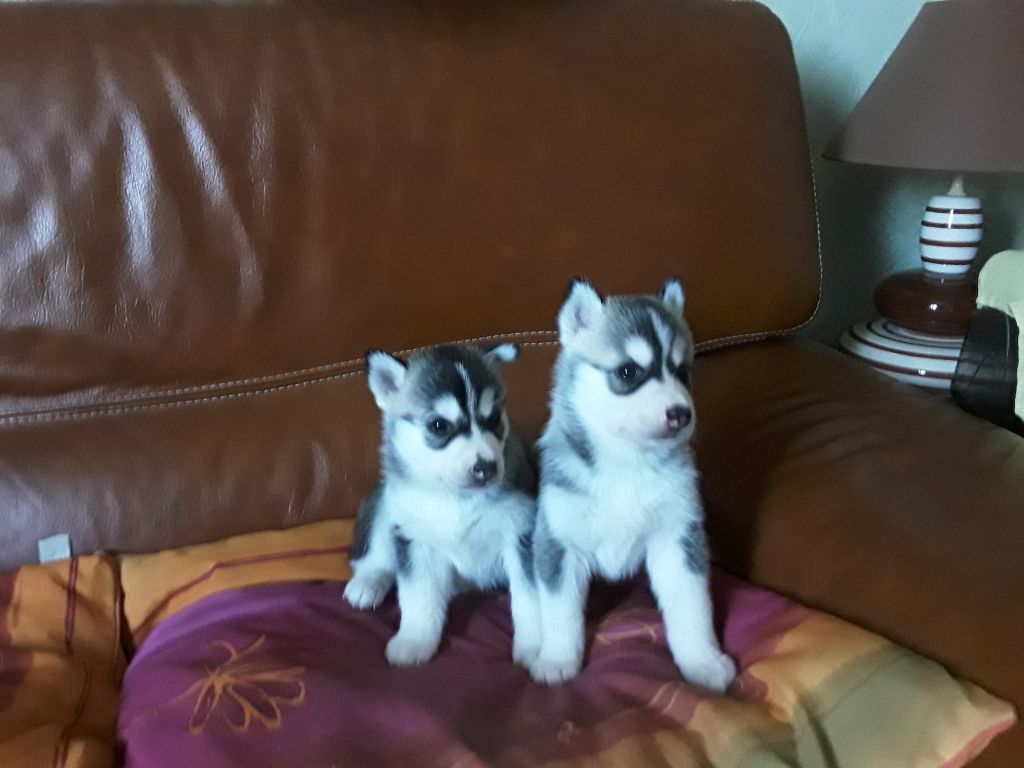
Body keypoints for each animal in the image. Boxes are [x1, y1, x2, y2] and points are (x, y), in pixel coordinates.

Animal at [343, 343, 541, 668]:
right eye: (439, 425)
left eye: (494, 419)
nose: (486, 467)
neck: (458, 498)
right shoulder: (414, 540)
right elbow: (418, 596)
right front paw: (414, 641)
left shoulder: (521, 534)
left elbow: (531, 599)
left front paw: (539, 646)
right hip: (384, 506)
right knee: (374, 556)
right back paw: (369, 582)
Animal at [529, 277, 736, 692]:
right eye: (628, 372)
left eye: (683, 372)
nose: (681, 414)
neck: (626, 462)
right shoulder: (559, 542)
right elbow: (560, 612)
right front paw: (558, 659)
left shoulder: (677, 537)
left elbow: (692, 607)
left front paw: (702, 661)